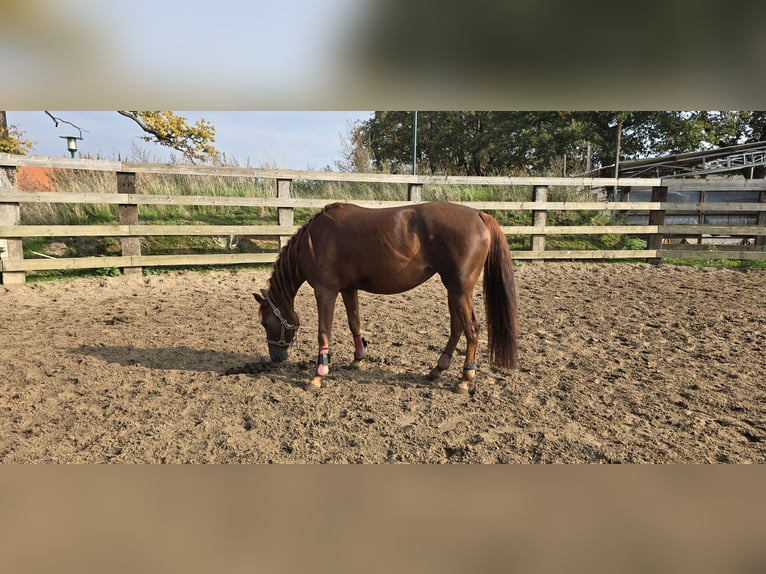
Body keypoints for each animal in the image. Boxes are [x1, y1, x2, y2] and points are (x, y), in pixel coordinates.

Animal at [253, 201, 519, 393]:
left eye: (265, 322)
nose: (276, 358)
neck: (313, 241)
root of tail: (479, 215)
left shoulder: (325, 290)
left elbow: (323, 332)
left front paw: (318, 375)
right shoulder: (348, 289)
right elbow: (354, 323)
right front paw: (358, 359)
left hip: (459, 289)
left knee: (471, 329)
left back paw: (465, 378)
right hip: (453, 288)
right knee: (457, 327)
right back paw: (438, 369)